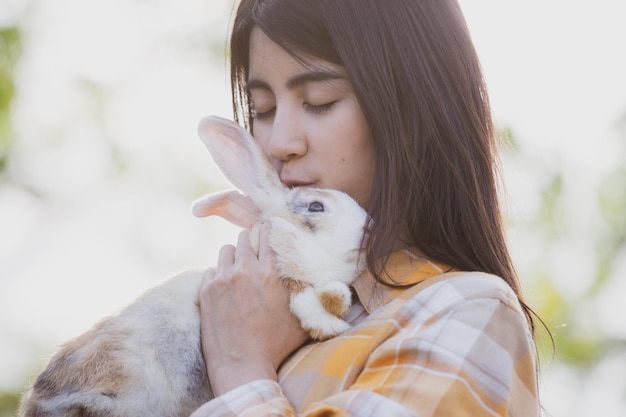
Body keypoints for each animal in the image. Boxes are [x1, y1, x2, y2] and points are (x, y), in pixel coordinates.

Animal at [19, 115, 368, 416]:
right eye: (316, 207)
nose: (369, 226)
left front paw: (337, 302)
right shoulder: (288, 268)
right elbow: (305, 300)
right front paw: (332, 322)